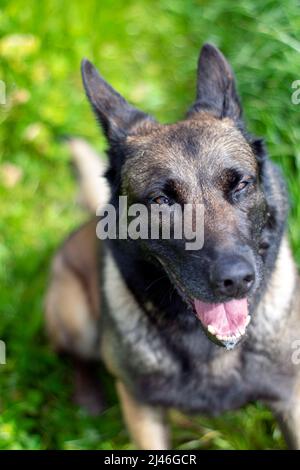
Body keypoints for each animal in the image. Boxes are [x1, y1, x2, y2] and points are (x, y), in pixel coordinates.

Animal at [44, 43, 300, 448]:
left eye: (241, 185)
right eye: (162, 200)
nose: (236, 280)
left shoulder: (291, 400)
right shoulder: (142, 410)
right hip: (76, 317)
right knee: (77, 356)